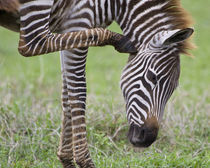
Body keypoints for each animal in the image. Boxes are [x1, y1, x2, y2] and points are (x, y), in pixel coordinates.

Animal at [0, 0, 194, 168]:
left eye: (173, 89)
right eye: (152, 77)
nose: (147, 139)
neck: (117, 4)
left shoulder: (68, 28)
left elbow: (67, 95)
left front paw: (66, 160)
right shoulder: (80, 20)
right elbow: (78, 93)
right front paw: (84, 162)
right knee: (31, 44)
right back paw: (119, 40)